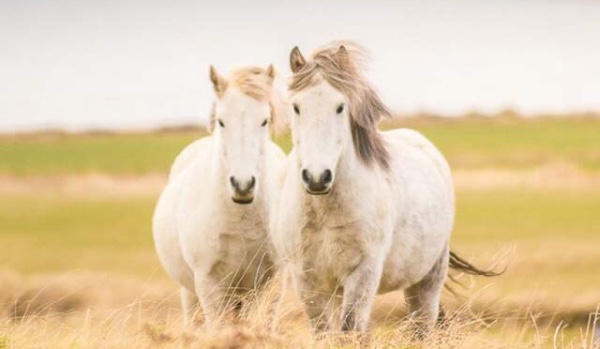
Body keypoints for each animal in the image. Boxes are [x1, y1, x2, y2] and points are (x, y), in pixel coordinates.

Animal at [154, 64, 288, 326]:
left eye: (264, 121)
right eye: (222, 121)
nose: (243, 185)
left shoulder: (272, 283)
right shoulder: (209, 285)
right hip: (191, 293)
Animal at [272, 42, 496, 334]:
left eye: (340, 107)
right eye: (296, 107)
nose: (317, 178)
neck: (325, 212)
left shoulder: (362, 273)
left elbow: (349, 329)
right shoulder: (308, 280)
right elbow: (325, 332)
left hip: (427, 281)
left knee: (422, 328)